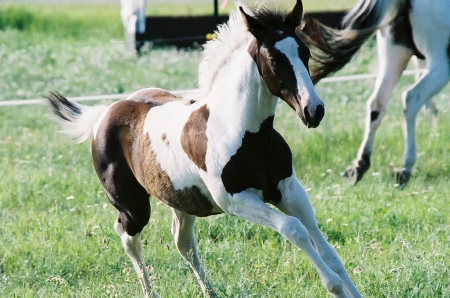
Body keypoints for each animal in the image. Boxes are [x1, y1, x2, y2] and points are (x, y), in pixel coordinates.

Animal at [47, 1, 360, 296]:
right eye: (273, 59)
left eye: (305, 52)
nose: (314, 110)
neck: (244, 133)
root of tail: (104, 113)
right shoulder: (235, 200)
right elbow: (293, 228)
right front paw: (334, 287)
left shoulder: (290, 190)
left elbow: (327, 250)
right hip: (134, 207)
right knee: (127, 235)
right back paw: (150, 292)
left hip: (183, 201)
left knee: (183, 242)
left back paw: (210, 292)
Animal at [298, 0, 450, 186]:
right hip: (440, 64)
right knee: (412, 98)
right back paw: (405, 168)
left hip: (395, 54)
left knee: (377, 102)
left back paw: (360, 166)